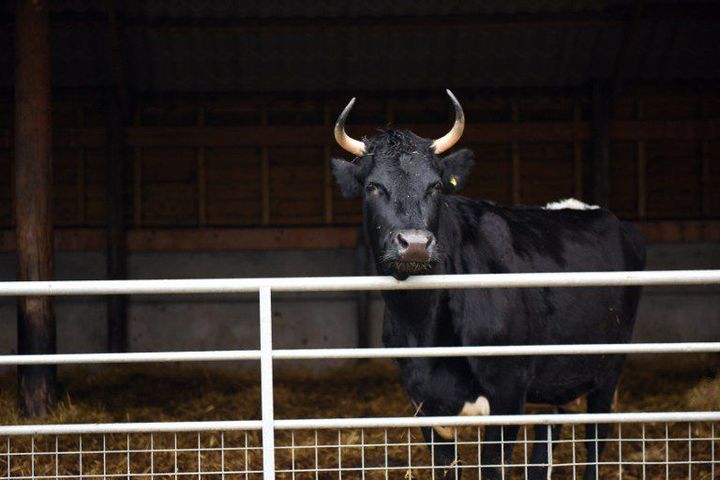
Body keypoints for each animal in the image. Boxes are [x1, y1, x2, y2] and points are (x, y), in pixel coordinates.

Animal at [330, 91, 644, 480]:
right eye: (373, 187)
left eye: (436, 186)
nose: (415, 243)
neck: (423, 324)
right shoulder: (423, 401)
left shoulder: (507, 393)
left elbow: (492, 465)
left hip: (607, 368)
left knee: (595, 441)